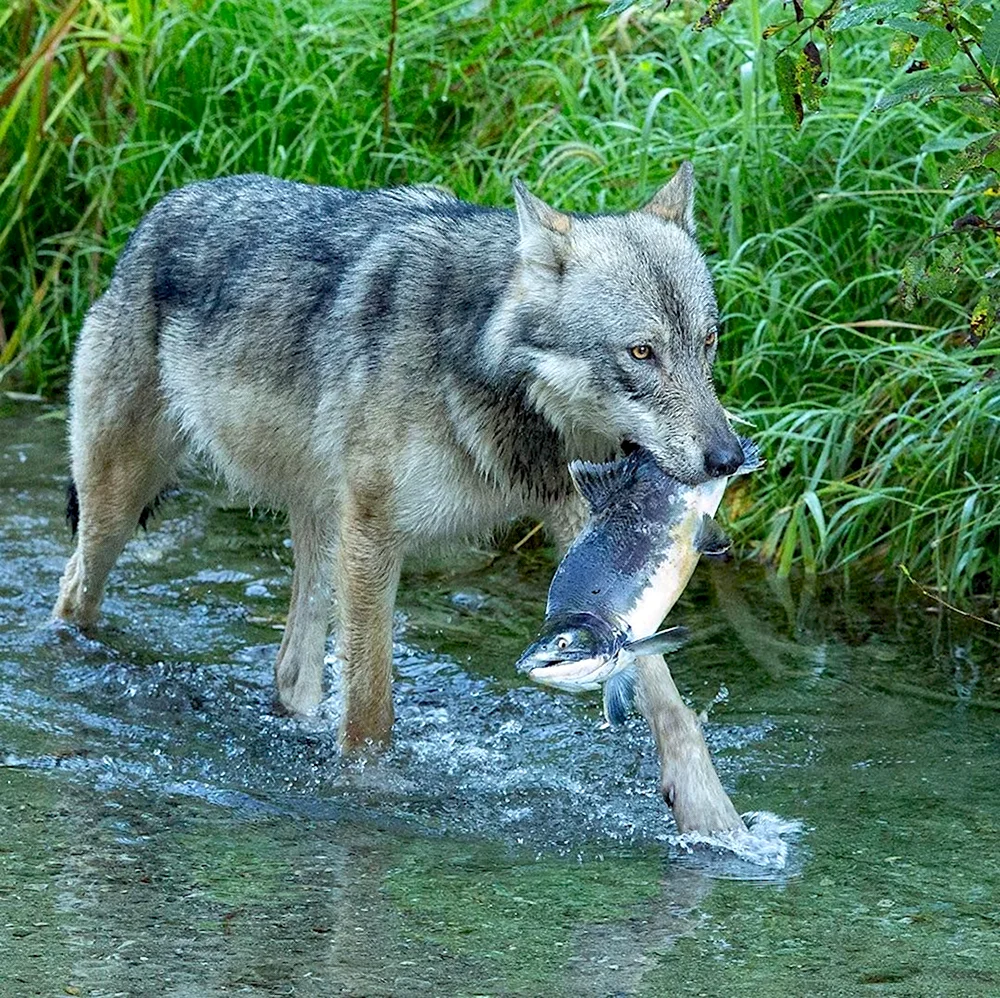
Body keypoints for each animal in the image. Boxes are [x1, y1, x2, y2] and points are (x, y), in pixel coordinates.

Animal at [52, 166, 744, 752]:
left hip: (319, 530)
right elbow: (370, 713)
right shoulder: (374, 537)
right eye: (641, 352)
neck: (480, 367)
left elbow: (664, 698)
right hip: (121, 509)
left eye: (708, 341)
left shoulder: (584, 524)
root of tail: (155, 213)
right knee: (72, 590)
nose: (729, 459)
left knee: (292, 670)